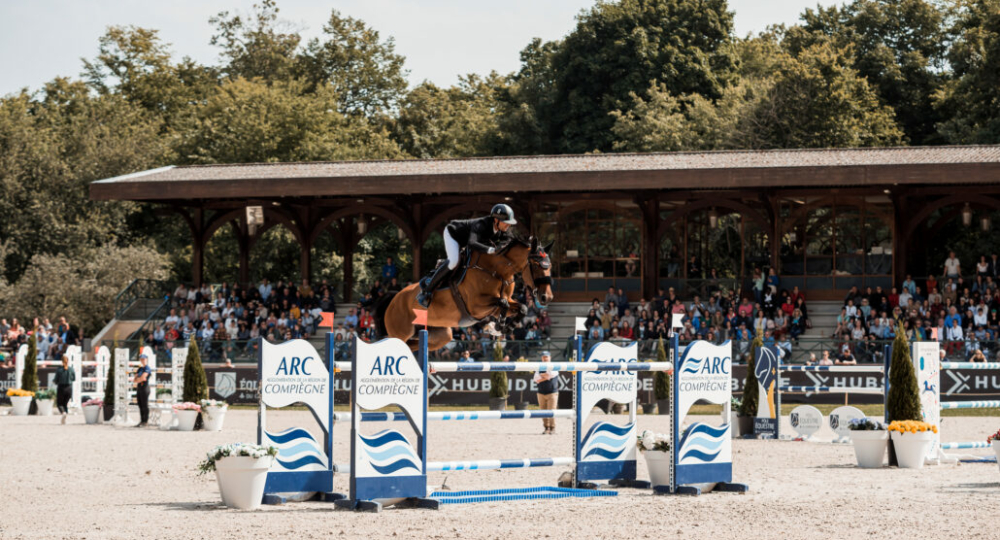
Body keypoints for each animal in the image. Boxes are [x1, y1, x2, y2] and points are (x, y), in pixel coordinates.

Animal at [374, 235, 552, 352]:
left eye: (549, 266)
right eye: (536, 265)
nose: (547, 297)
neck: (497, 271)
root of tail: (393, 298)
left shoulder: (498, 305)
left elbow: (521, 307)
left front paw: (504, 328)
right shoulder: (476, 306)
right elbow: (503, 304)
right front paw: (498, 326)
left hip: (440, 334)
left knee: (414, 344)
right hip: (401, 331)